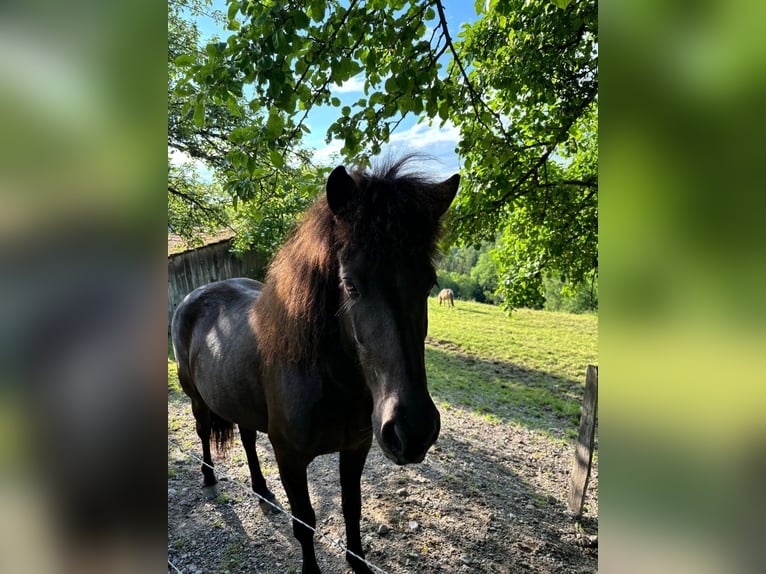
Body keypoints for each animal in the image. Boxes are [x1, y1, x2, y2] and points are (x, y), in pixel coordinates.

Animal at [171, 159, 460, 574]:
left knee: (247, 439)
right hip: (197, 401)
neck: (328, 381)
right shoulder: (290, 458)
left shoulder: (356, 448)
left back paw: (262, 491)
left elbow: (352, 509)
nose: (413, 430)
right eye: (350, 284)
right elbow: (304, 522)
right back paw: (209, 478)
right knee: (204, 433)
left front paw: (359, 564)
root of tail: (193, 296)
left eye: (429, 283)